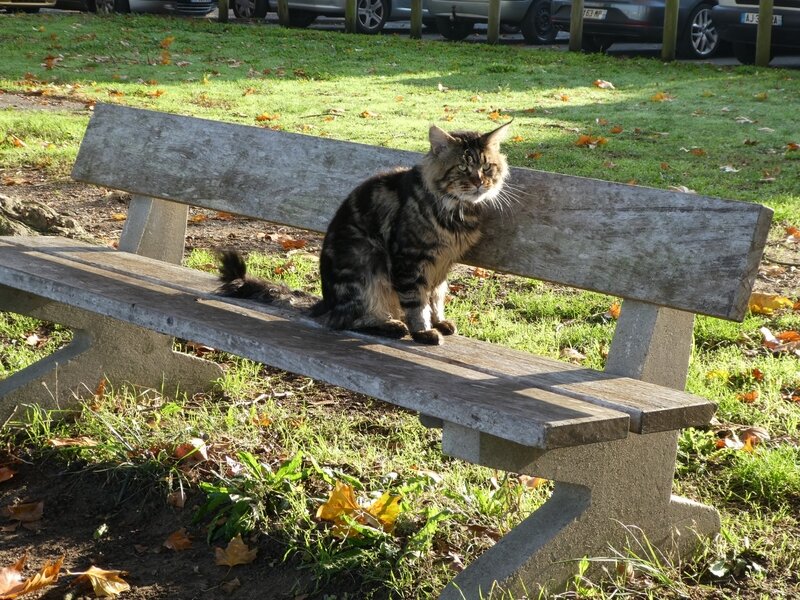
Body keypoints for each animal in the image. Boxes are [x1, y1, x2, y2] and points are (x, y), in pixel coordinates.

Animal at [216, 120, 510, 346]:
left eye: (487, 167)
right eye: (463, 168)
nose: (479, 183)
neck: (456, 211)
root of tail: (327, 303)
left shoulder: (441, 266)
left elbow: (436, 298)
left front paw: (439, 322)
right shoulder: (409, 261)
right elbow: (417, 303)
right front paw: (424, 331)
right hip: (366, 260)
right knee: (349, 320)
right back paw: (391, 325)